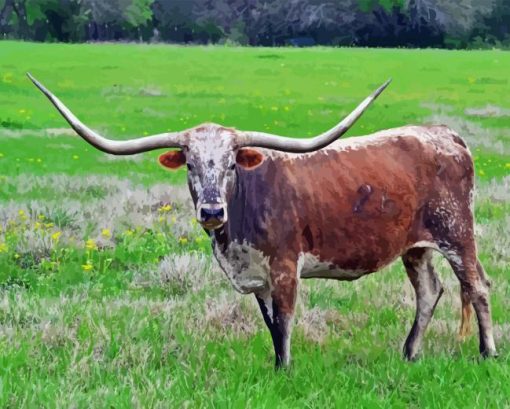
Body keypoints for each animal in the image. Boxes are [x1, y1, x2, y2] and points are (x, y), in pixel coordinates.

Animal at [26, 72, 494, 366]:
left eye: (231, 163)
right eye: (190, 164)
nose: (211, 211)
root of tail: (443, 133)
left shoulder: (285, 267)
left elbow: (284, 322)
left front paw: (284, 370)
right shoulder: (257, 277)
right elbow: (270, 324)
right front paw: (275, 365)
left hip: (457, 233)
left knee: (477, 286)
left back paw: (487, 353)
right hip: (415, 246)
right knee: (429, 291)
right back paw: (410, 353)